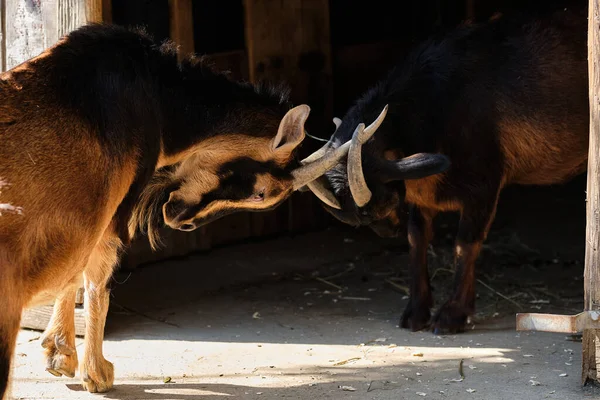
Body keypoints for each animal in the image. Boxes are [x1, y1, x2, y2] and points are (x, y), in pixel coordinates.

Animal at [308, 4, 588, 332]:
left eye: (380, 204)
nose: (387, 230)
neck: (440, 104)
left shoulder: (484, 185)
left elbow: (465, 244)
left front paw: (453, 314)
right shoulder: (421, 193)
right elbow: (417, 239)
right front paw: (416, 310)